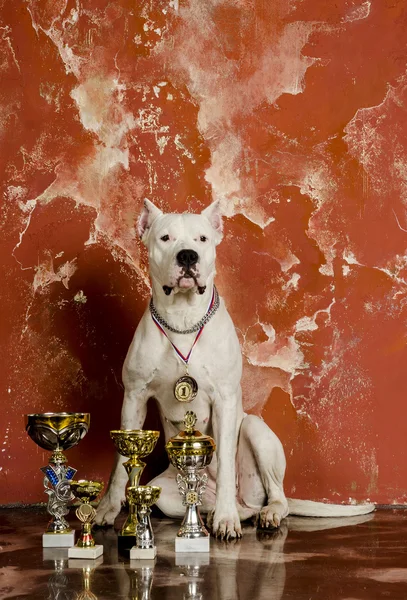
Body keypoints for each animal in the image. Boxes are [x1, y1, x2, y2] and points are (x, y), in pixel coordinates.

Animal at [96, 198, 376, 540]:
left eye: (202, 239)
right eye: (165, 238)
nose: (187, 255)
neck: (183, 322)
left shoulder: (225, 400)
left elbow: (228, 462)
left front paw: (225, 519)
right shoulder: (134, 397)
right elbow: (120, 464)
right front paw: (107, 509)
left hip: (255, 431)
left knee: (275, 497)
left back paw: (261, 513)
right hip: (166, 492)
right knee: (212, 503)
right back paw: (217, 513)